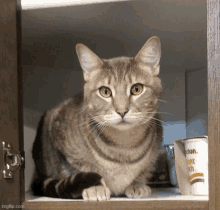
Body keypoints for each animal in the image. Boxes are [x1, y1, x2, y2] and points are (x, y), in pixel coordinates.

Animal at [31, 35, 163, 200]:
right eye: (105, 91)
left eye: (137, 89)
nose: (122, 111)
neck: (124, 147)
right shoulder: (58, 137)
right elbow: (80, 168)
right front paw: (94, 187)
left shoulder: (154, 151)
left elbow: (145, 169)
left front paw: (137, 184)